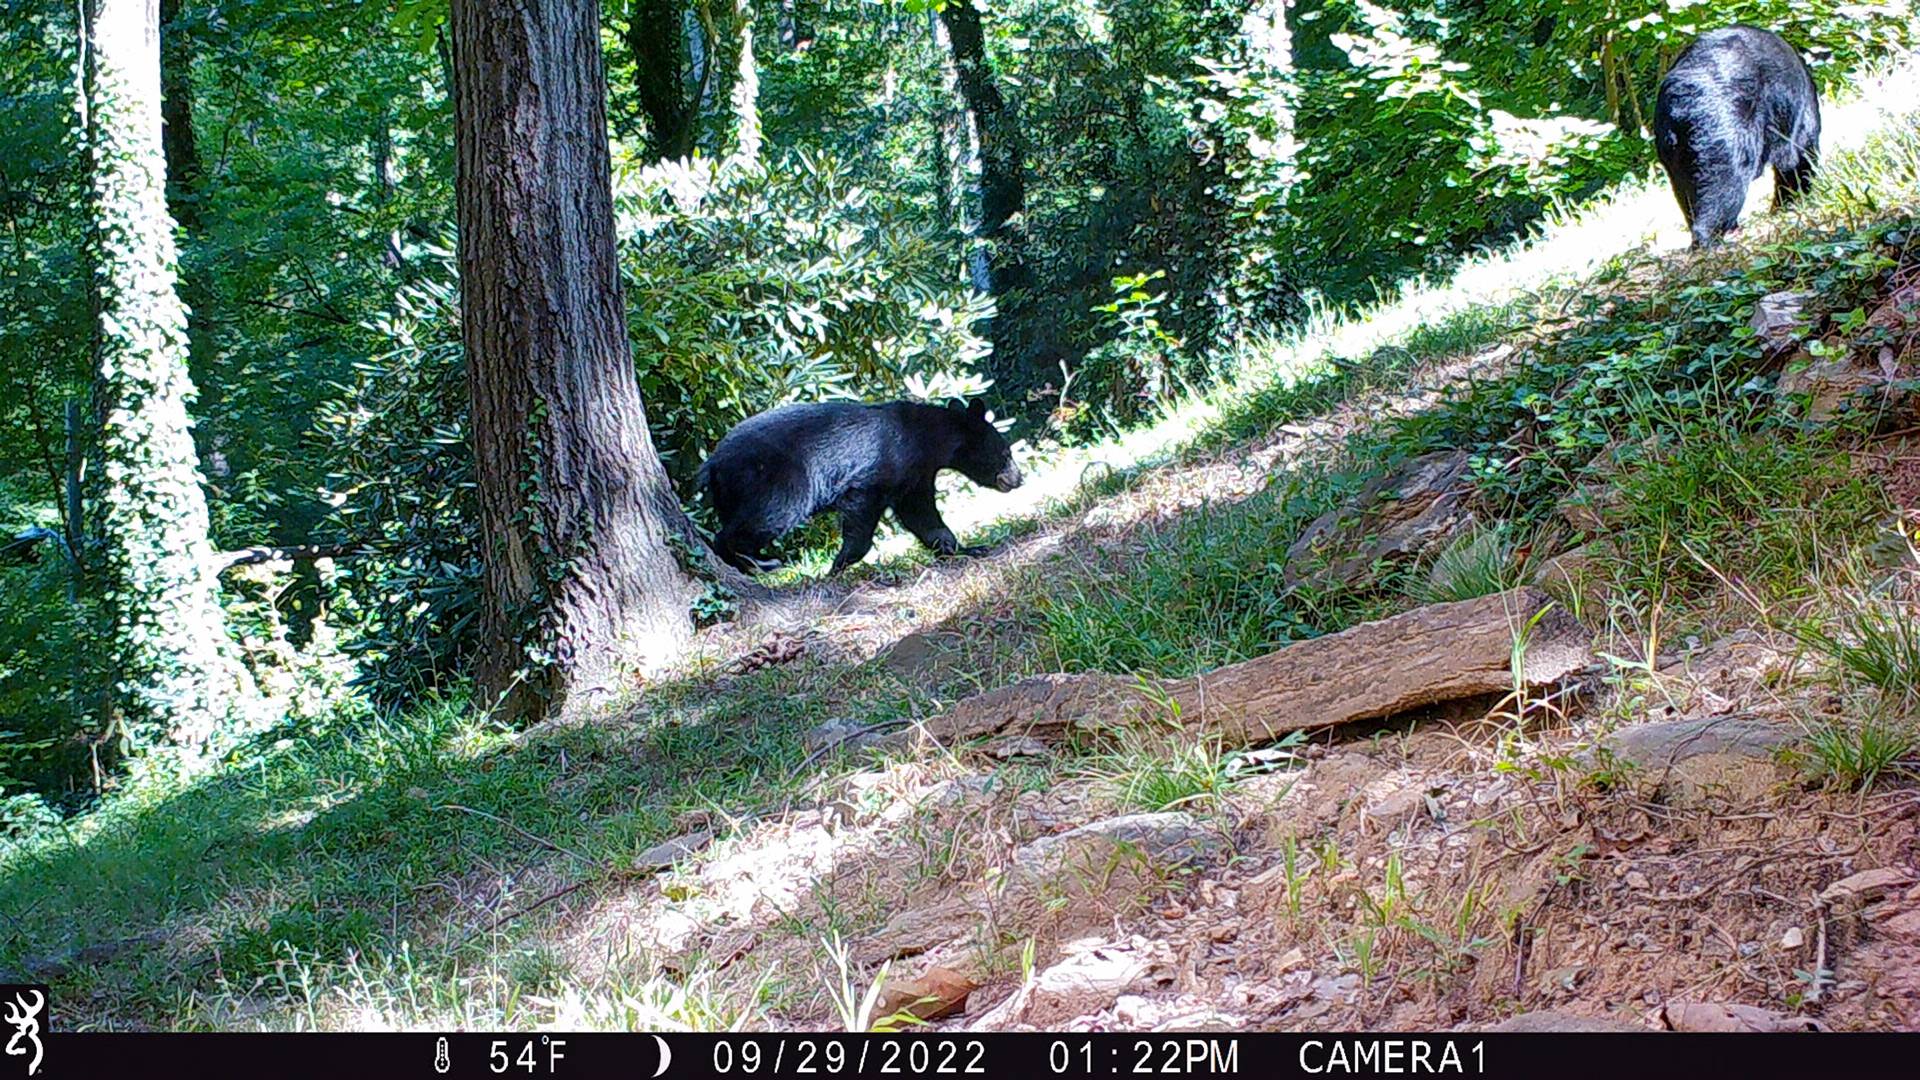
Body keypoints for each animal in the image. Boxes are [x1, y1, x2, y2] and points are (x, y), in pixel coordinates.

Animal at [699, 398, 1024, 576]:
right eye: (1006, 452)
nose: (1019, 479)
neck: (927, 438)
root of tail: (713, 461)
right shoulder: (883, 465)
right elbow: (864, 509)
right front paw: (838, 565)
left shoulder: (914, 475)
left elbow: (923, 515)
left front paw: (966, 548)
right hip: (772, 477)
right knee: (768, 515)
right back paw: (759, 562)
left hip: (733, 490)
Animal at [1654, 26, 1820, 249]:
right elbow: (1799, 158)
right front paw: (1792, 199)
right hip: (1726, 125)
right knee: (1725, 181)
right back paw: (1712, 234)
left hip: (1672, 146)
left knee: (1684, 187)